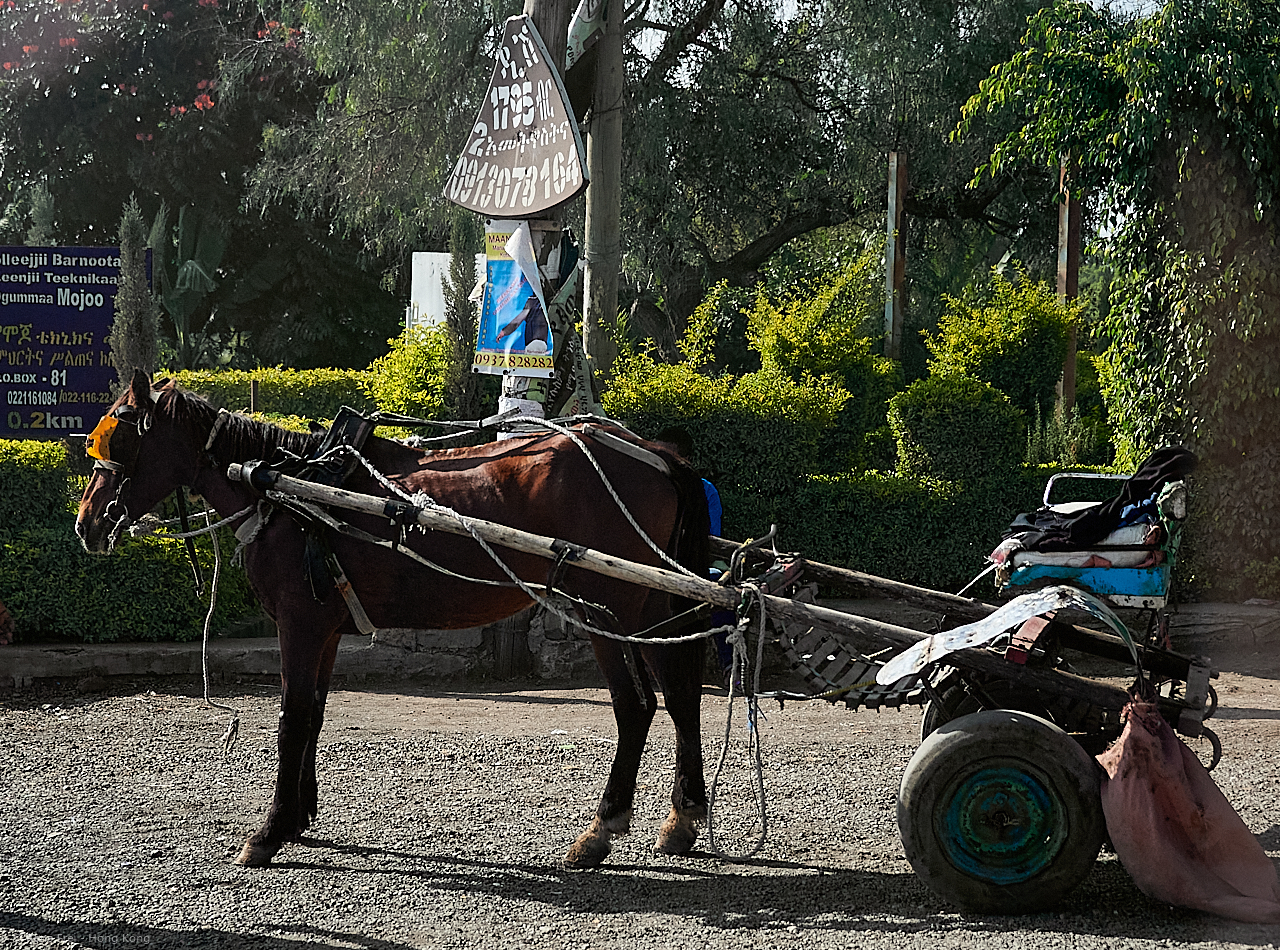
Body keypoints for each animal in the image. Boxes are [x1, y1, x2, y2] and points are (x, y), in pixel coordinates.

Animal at [74, 371, 711, 870]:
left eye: (121, 438)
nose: (86, 522)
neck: (284, 487)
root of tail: (654, 453)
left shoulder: (299, 625)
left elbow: (291, 716)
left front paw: (270, 831)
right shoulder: (326, 629)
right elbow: (314, 715)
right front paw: (298, 816)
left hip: (610, 606)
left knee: (646, 703)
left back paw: (615, 827)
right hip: (634, 607)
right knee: (670, 699)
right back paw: (670, 820)